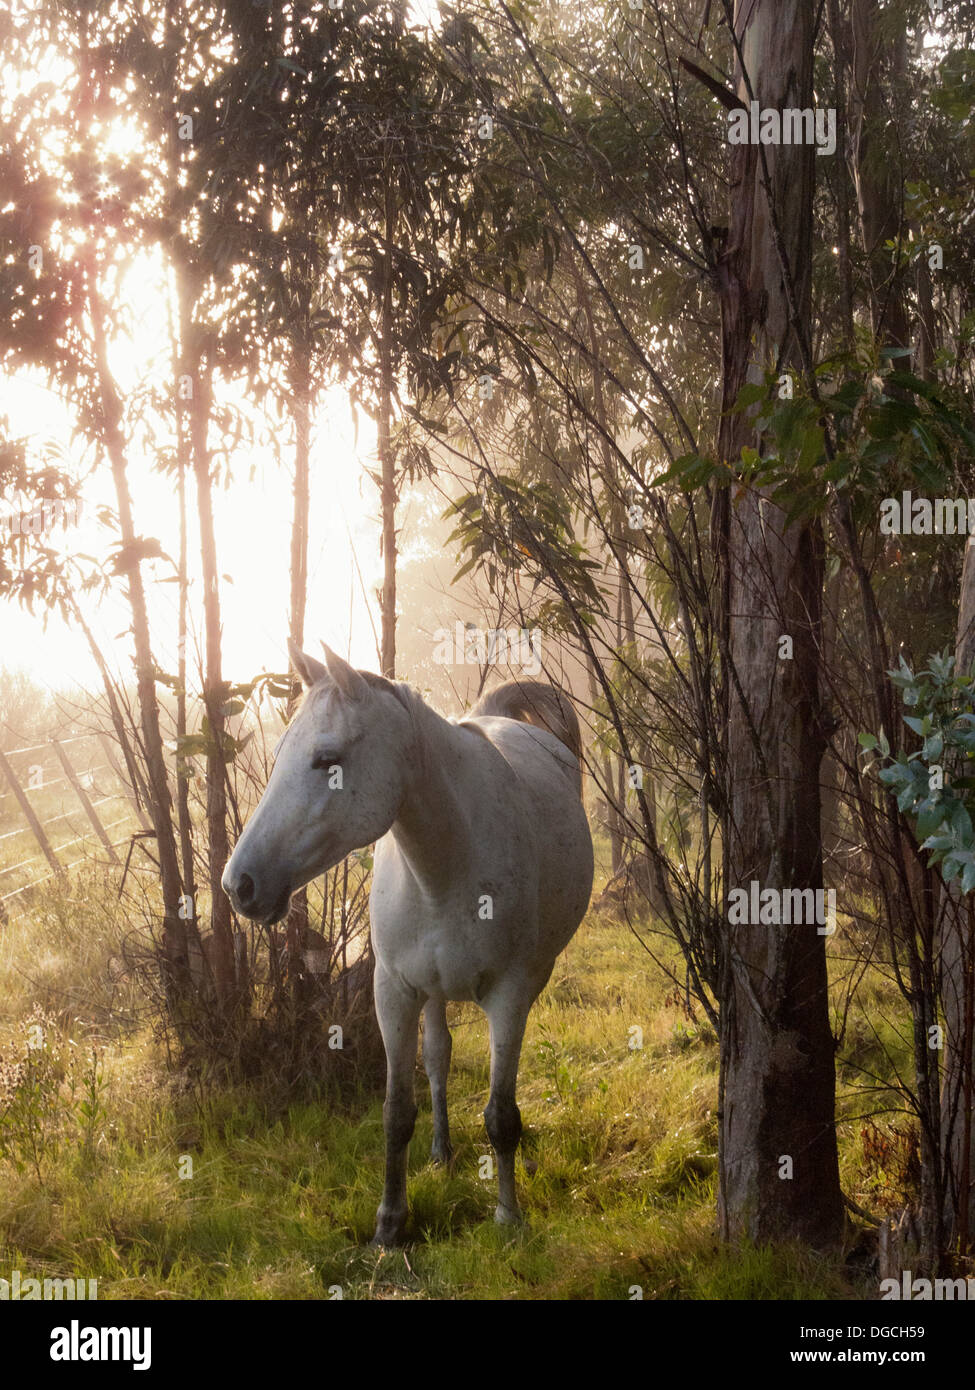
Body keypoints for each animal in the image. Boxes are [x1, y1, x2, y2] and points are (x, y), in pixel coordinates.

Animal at [223, 644, 592, 1245]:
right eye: (281, 754)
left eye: (327, 758)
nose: (240, 885)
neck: (449, 865)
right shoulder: (394, 991)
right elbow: (397, 1111)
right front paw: (389, 1224)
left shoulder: (509, 996)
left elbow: (501, 1116)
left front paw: (508, 1217)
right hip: (432, 991)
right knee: (438, 1058)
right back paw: (441, 1152)